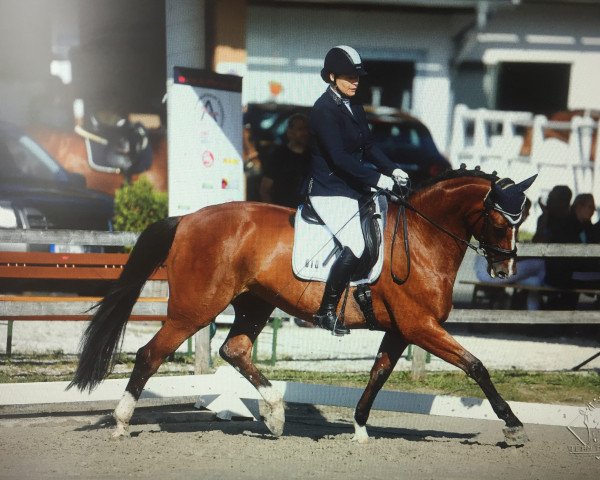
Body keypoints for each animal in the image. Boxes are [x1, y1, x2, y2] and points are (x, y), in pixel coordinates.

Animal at [70, 168, 536, 446]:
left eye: (523, 219)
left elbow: (378, 374)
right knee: (151, 353)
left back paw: (275, 415)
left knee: (234, 350)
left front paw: (360, 427)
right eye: (500, 220)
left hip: (254, 303)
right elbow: (475, 365)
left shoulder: (401, 329)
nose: (504, 269)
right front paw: (512, 424)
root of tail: (186, 219)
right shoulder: (419, 325)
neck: (422, 238)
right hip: (194, 308)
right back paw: (122, 420)